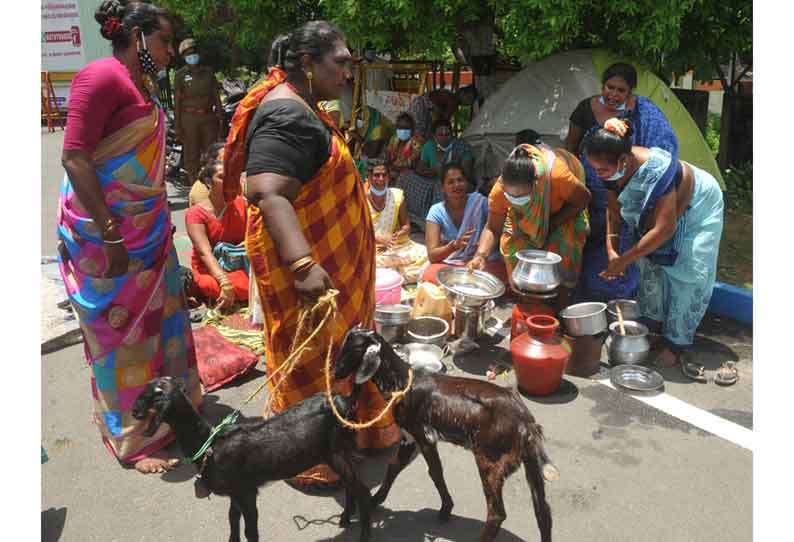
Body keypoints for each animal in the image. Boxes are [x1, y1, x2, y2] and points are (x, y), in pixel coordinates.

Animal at [133, 376, 380, 542]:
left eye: (150, 395)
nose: (134, 412)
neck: (210, 445)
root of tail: (346, 400)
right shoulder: (235, 493)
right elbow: (233, 520)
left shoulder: (247, 491)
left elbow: (250, 530)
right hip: (335, 454)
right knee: (351, 485)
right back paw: (345, 518)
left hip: (337, 452)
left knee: (362, 490)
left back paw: (365, 534)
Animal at [334, 330, 556, 542]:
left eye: (352, 348)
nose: (336, 373)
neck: (403, 383)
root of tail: (525, 422)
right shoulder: (409, 438)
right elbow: (394, 467)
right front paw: (374, 501)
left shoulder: (423, 437)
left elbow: (435, 472)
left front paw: (445, 509)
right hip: (531, 463)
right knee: (543, 512)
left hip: (490, 461)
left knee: (497, 514)